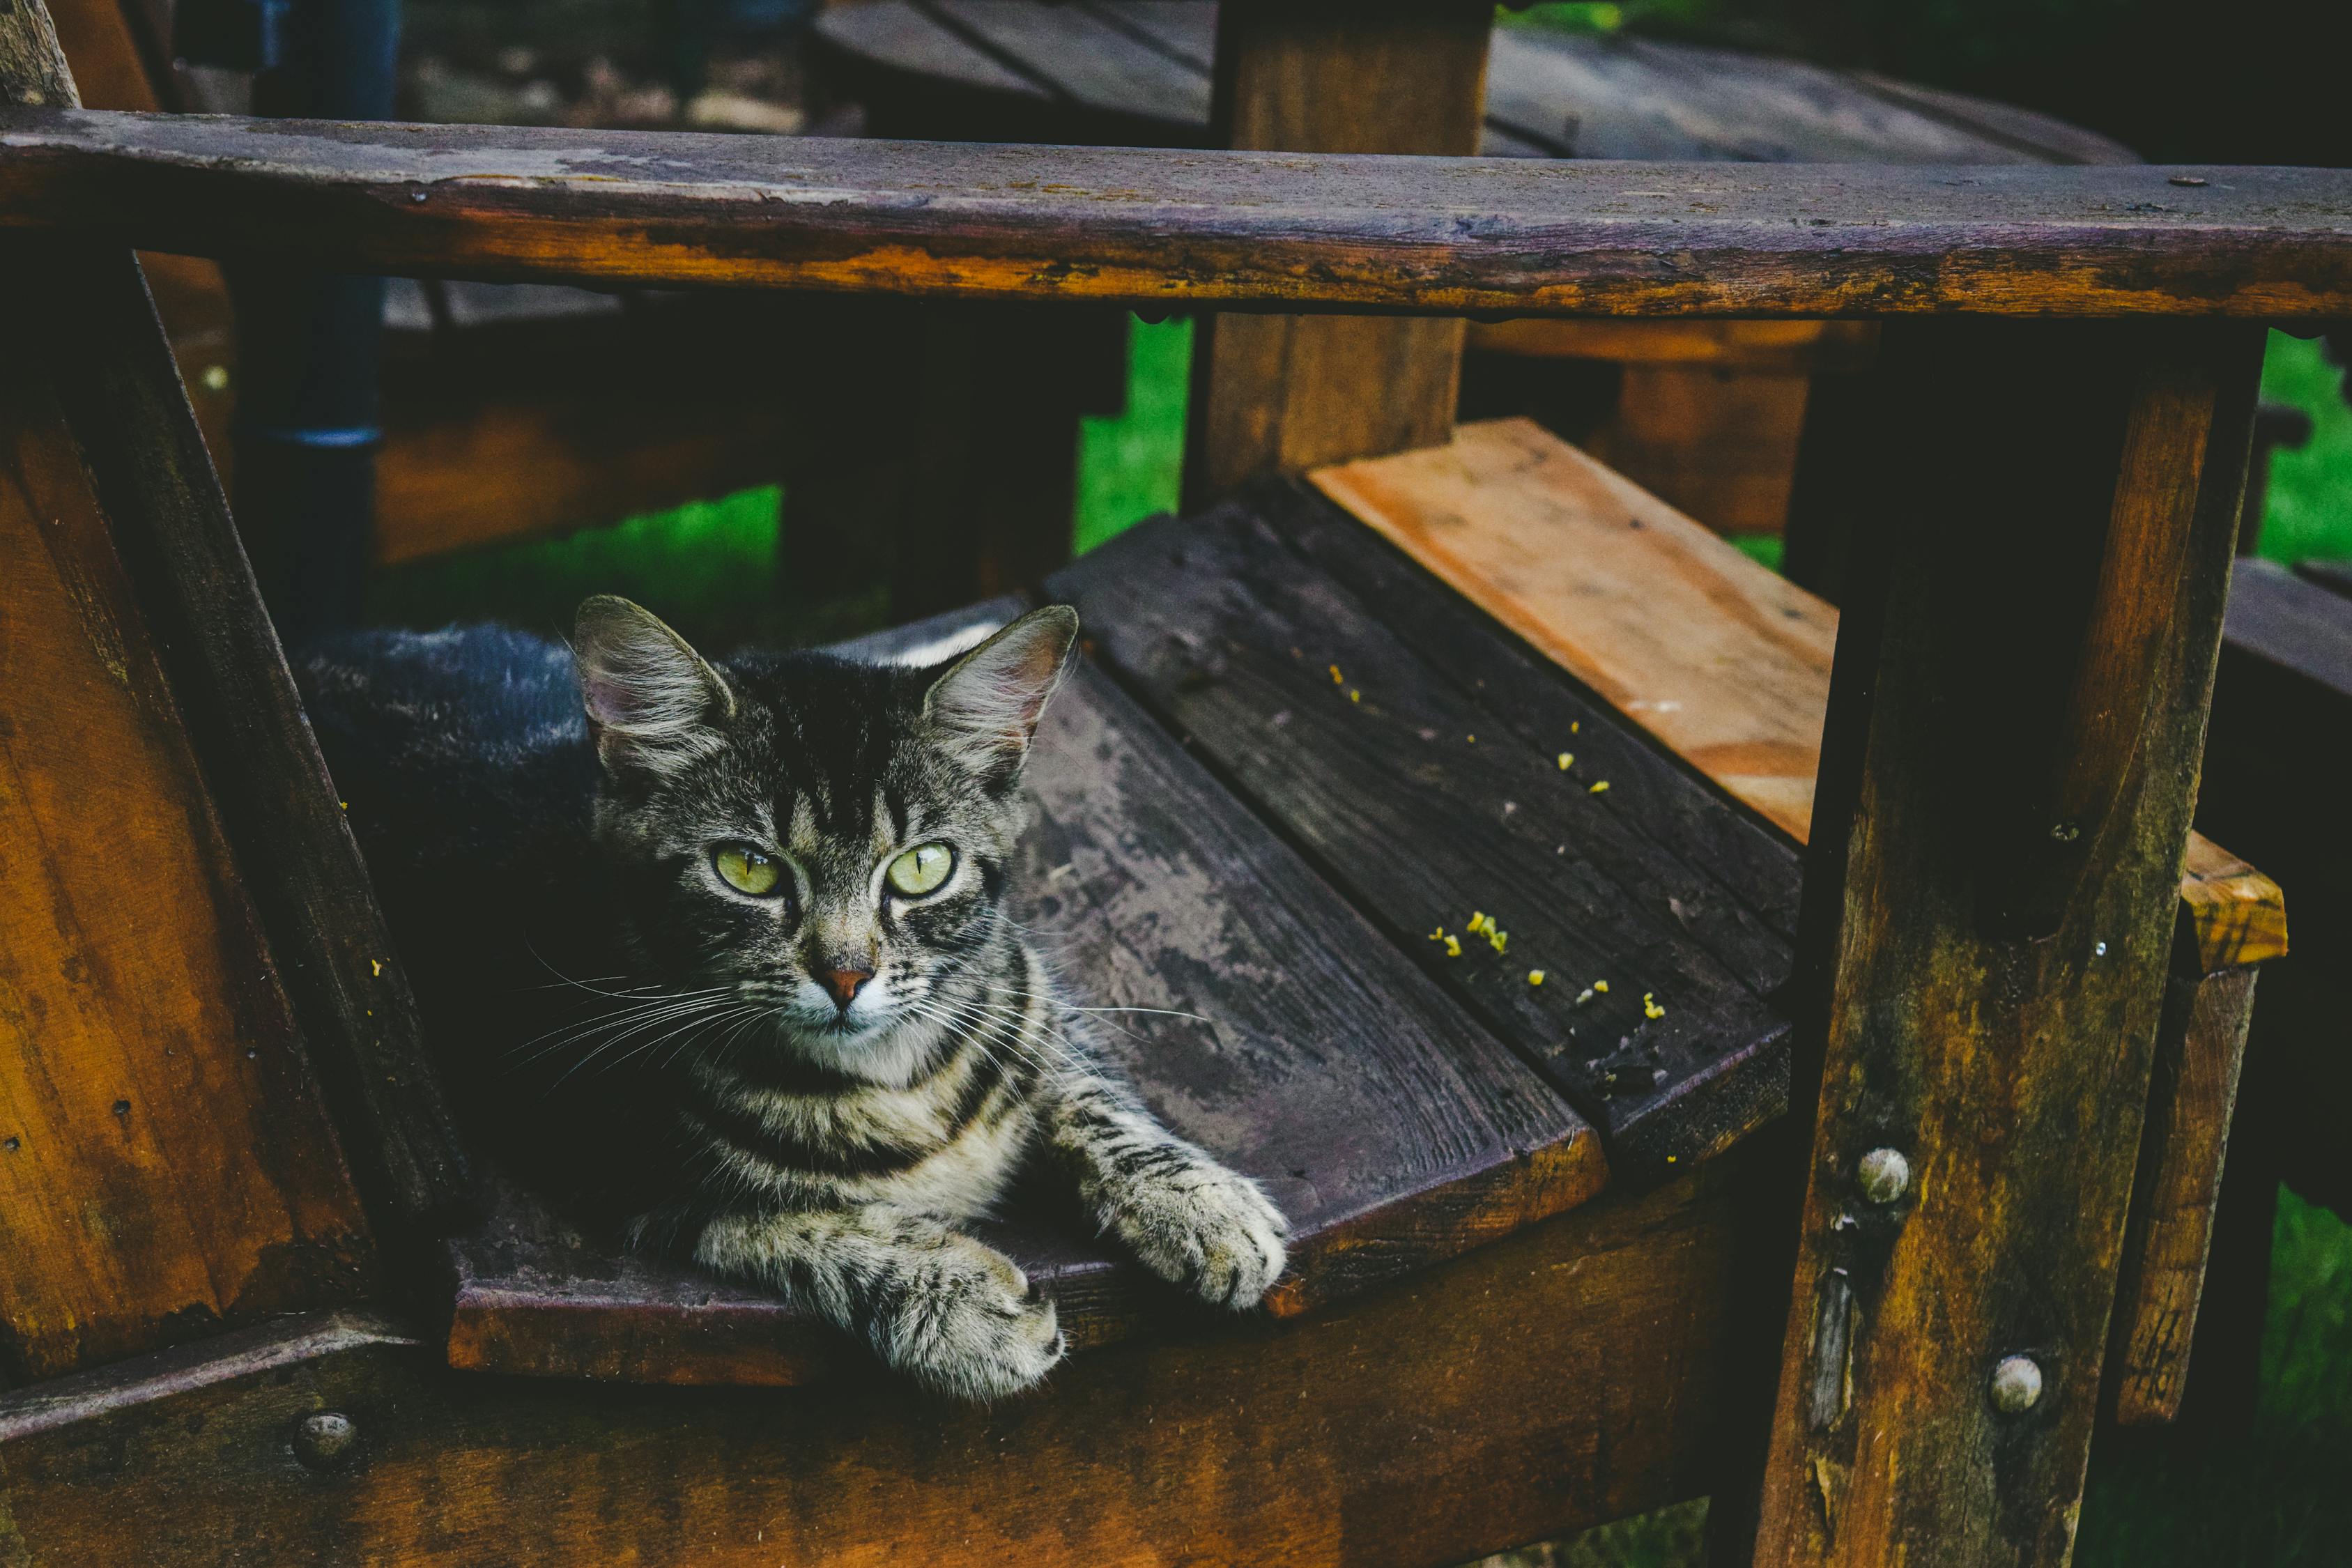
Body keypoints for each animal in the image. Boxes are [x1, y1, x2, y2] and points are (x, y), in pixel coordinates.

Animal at [296, 597, 1298, 1401]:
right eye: (747, 868)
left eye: (922, 867)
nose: (847, 973)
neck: (892, 1082)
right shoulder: (612, 1159)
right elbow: (802, 1222)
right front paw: (963, 1304)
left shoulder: (1023, 998)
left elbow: (1089, 1093)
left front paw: (1200, 1202)